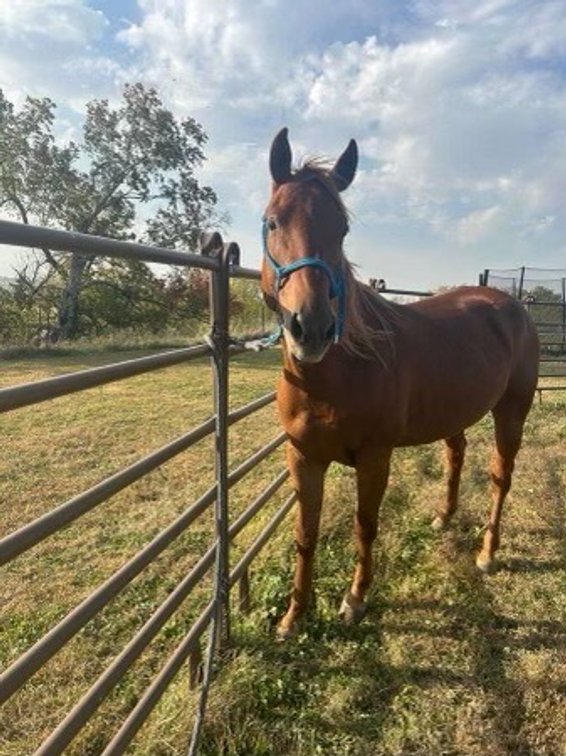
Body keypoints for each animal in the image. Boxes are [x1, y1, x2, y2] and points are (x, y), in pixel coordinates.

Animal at [260, 128, 540, 641]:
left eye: (342, 230)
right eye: (272, 222)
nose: (311, 327)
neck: (337, 374)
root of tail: (512, 305)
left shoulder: (375, 457)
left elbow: (365, 525)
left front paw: (354, 600)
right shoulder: (303, 456)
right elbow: (305, 534)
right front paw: (293, 616)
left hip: (512, 413)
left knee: (500, 476)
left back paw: (487, 553)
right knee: (456, 454)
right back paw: (444, 516)